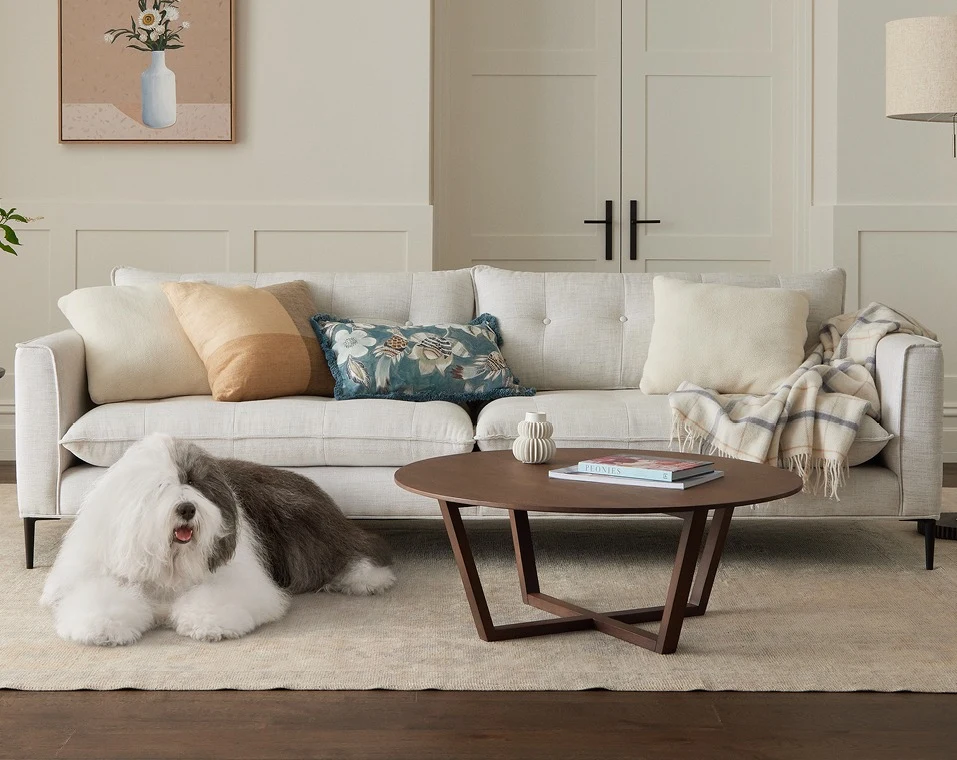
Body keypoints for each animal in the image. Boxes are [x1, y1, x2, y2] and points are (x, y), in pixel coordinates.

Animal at [43, 434, 394, 648]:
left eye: (195, 484)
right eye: (161, 486)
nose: (187, 508)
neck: (170, 565)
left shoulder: (242, 578)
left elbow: (218, 598)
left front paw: (210, 624)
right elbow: (99, 597)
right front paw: (103, 629)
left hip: (308, 533)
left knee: (355, 549)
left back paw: (367, 579)